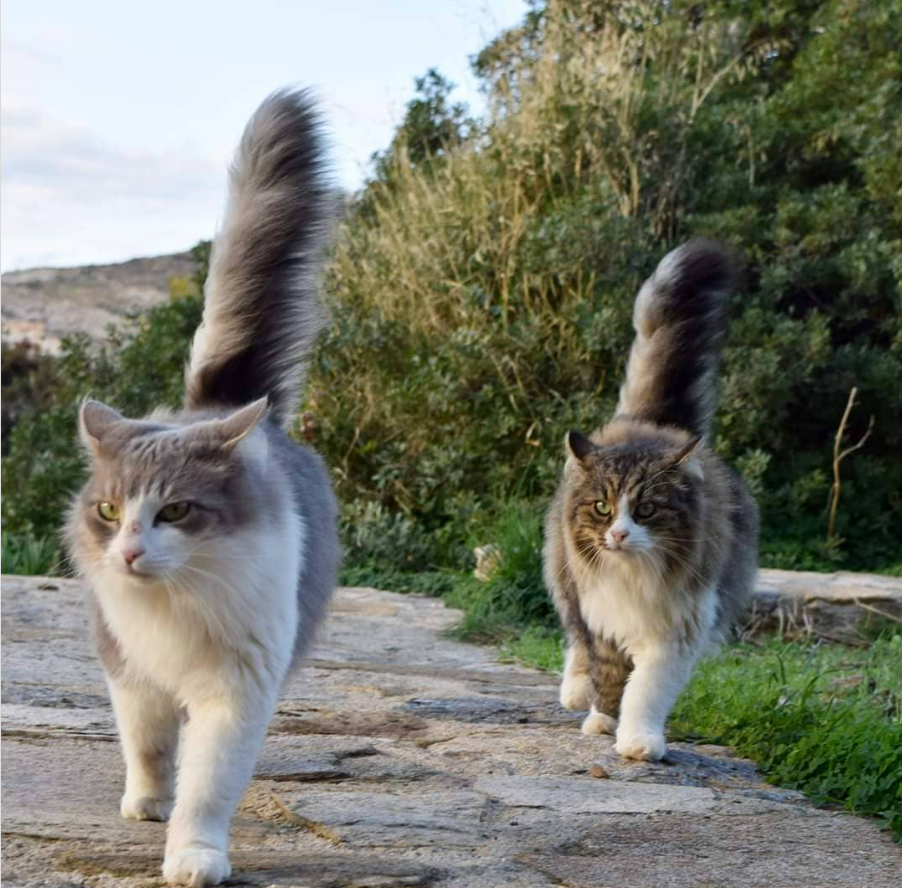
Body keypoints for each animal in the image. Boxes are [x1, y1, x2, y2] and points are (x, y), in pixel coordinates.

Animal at [63, 86, 340, 884]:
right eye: (110, 509)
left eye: (177, 511)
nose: (128, 552)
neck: (175, 606)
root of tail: (228, 404)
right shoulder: (130, 669)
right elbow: (150, 747)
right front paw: (149, 803)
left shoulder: (237, 684)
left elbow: (210, 782)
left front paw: (193, 852)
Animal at [548, 241, 760, 764]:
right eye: (603, 508)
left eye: (645, 510)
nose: (619, 533)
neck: (633, 577)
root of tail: (654, 423)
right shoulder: (599, 615)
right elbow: (606, 672)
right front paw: (602, 719)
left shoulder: (676, 628)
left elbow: (645, 691)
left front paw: (639, 740)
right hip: (567, 580)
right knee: (574, 641)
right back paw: (575, 691)